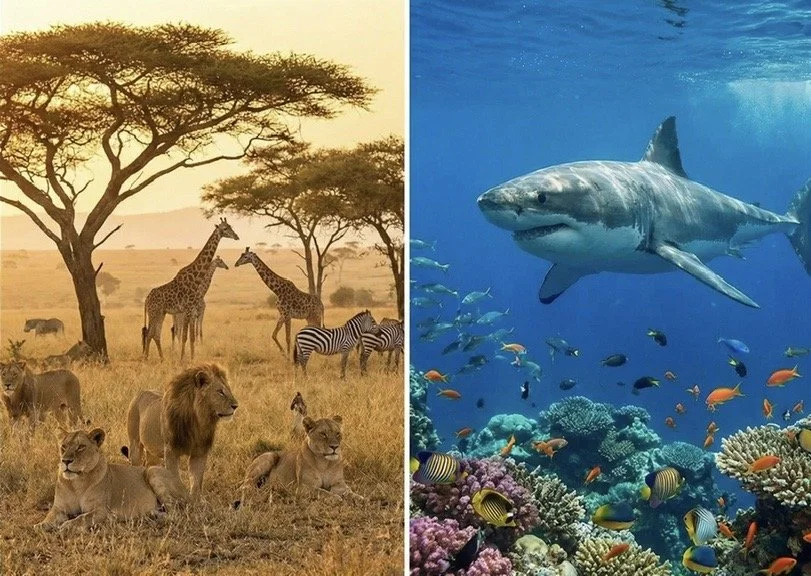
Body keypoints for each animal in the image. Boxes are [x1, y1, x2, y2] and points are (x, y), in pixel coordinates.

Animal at [36, 428, 188, 531]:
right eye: (64, 446)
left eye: (81, 447)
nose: (66, 461)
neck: (76, 482)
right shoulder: (59, 508)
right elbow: (50, 516)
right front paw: (41, 525)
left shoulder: (101, 510)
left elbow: (81, 518)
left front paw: (66, 526)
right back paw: (150, 515)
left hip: (152, 471)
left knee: (176, 513)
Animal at [122, 363, 238, 498]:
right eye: (220, 392)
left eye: (229, 389)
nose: (236, 406)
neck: (198, 422)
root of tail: (140, 392)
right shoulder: (171, 451)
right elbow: (175, 478)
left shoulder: (199, 453)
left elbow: (196, 483)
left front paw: (195, 501)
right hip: (135, 445)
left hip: (152, 452)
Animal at [142, 218, 239, 360]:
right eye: (225, 228)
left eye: (231, 226)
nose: (236, 236)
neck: (196, 278)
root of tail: (147, 298)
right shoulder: (187, 310)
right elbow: (184, 337)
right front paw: (182, 359)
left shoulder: (192, 312)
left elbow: (192, 337)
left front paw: (192, 358)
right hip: (154, 312)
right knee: (150, 333)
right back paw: (146, 358)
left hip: (161, 313)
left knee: (156, 334)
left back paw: (162, 358)